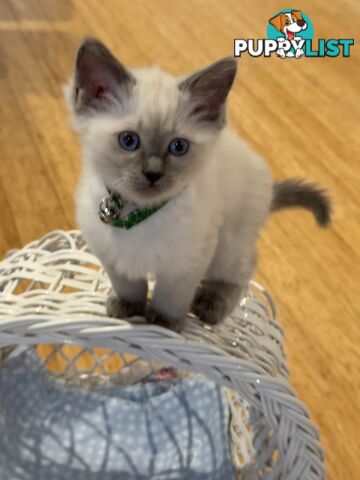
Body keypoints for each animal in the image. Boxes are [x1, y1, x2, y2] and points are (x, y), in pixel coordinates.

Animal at [64, 37, 330, 332]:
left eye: (178, 147)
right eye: (129, 141)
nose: (153, 173)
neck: (139, 214)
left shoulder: (186, 264)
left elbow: (169, 297)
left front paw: (164, 324)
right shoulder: (113, 257)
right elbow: (129, 286)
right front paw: (128, 308)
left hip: (227, 247)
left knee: (245, 267)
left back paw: (209, 305)